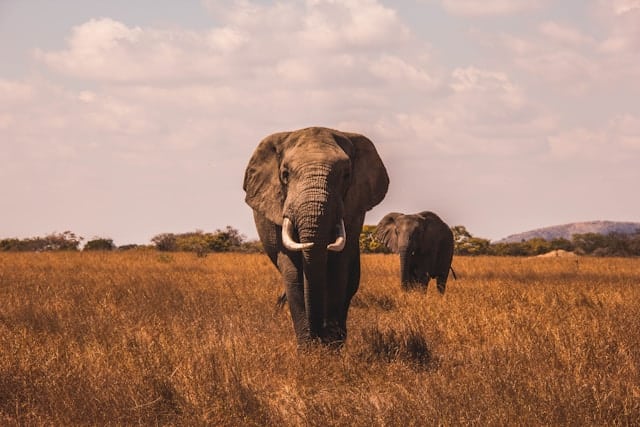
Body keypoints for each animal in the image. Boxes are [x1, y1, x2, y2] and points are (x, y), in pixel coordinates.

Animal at [242, 127, 388, 348]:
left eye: (346, 175)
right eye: (285, 174)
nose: (319, 335)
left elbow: (338, 269)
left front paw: (330, 347)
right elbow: (293, 272)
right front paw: (309, 349)